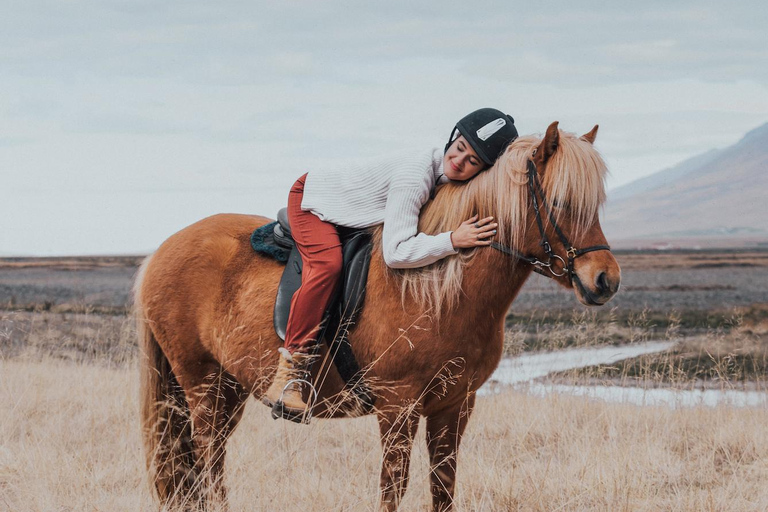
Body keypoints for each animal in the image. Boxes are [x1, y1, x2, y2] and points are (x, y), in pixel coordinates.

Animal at [135, 121, 621, 512]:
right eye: (558, 202)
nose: (605, 280)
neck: (439, 291)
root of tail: (160, 251)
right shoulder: (397, 407)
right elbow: (393, 489)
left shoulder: (455, 406)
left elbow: (443, 488)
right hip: (201, 382)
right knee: (207, 460)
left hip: (228, 387)